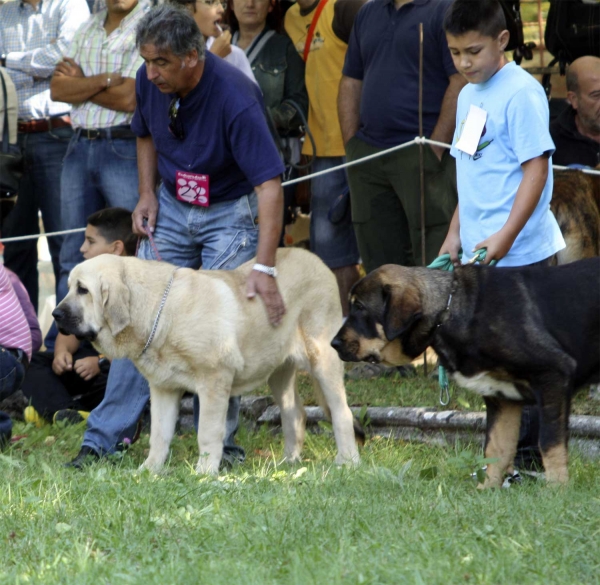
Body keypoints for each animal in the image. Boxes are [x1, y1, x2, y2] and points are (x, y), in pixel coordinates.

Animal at [52, 248, 360, 474]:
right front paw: (149, 471)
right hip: (278, 371)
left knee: (342, 412)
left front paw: (204, 472)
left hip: (322, 357)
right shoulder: (163, 389)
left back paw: (347, 461)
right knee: (294, 412)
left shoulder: (214, 382)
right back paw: (289, 462)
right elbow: (159, 434)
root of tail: (318, 261)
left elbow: (208, 432)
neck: (161, 311)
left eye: (83, 290)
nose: (55, 315)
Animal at [332, 258, 600, 486]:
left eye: (360, 307)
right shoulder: (502, 397)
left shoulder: (553, 373)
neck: (449, 311)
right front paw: (487, 490)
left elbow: (550, 443)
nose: (333, 344)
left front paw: (557, 490)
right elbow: (496, 448)